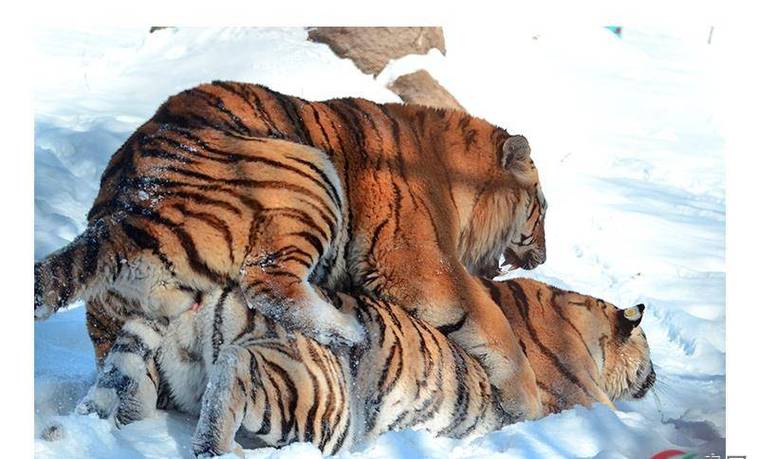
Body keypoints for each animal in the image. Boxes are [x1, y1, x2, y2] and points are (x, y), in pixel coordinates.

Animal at [34, 82, 548, 420]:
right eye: (541, 210)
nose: (543, 257)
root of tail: (126, 201)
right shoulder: (420, 262)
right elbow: (490, 322)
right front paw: (529, 404)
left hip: (139, 306)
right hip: (307, 172)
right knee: (266, 283)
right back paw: (346, 332)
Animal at [73, 277, 654, 457]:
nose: (652, 378)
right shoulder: (583, 396)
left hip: (150, 371)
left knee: (119, 394)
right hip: (322, 400)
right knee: (238, 371)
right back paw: (219, 447)